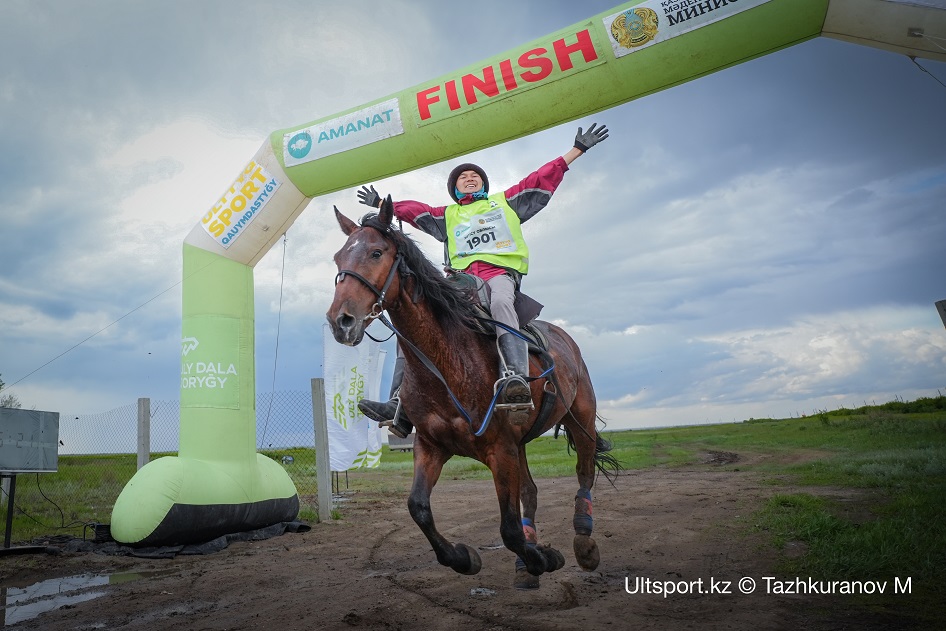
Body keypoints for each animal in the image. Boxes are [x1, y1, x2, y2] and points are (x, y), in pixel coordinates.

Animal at [324, 199, 620, 592]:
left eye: (376, 252)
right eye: (339, 258)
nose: (340, 321)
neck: (449, 360)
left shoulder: (500, 450)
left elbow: (508, 529)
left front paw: (544, 557)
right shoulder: (432, 446)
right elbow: (418, 508)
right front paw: (465, 558)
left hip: (580, 420)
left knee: (584, 473)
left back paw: (583, 544)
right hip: (521, 444)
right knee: (531, 492)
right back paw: (526, 565)